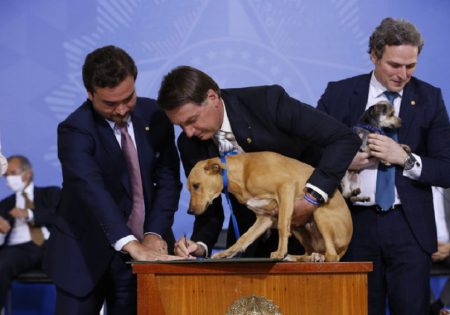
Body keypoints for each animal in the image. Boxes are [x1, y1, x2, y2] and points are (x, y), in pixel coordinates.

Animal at [185, 152, 352, 262]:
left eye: (196, 185)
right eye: (189, 188)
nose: (190, 211)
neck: (243, 173)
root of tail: (346, 245)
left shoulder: (285, 188)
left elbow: (282, 227)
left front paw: (280, 252)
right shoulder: (265, 217)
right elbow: (244, 238)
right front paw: (225, 253)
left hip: (318, 214)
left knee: (332, 256)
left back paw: (317, 257)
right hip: (299, 227)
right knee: (311, 251)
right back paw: (300, 257)